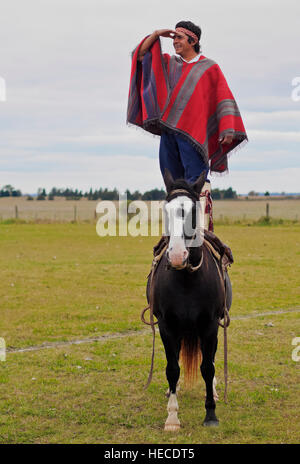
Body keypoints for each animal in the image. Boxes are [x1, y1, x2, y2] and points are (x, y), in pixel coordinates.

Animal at [147, 169, 232, 430]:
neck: (186, 280)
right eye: (165, 211)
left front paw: (211, 414)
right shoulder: (167, 326)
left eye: (194, 211)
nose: (176, 255)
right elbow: (172, 368)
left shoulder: (210, 326)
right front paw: (172, 418)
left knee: (210, 359)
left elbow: (207, 367)